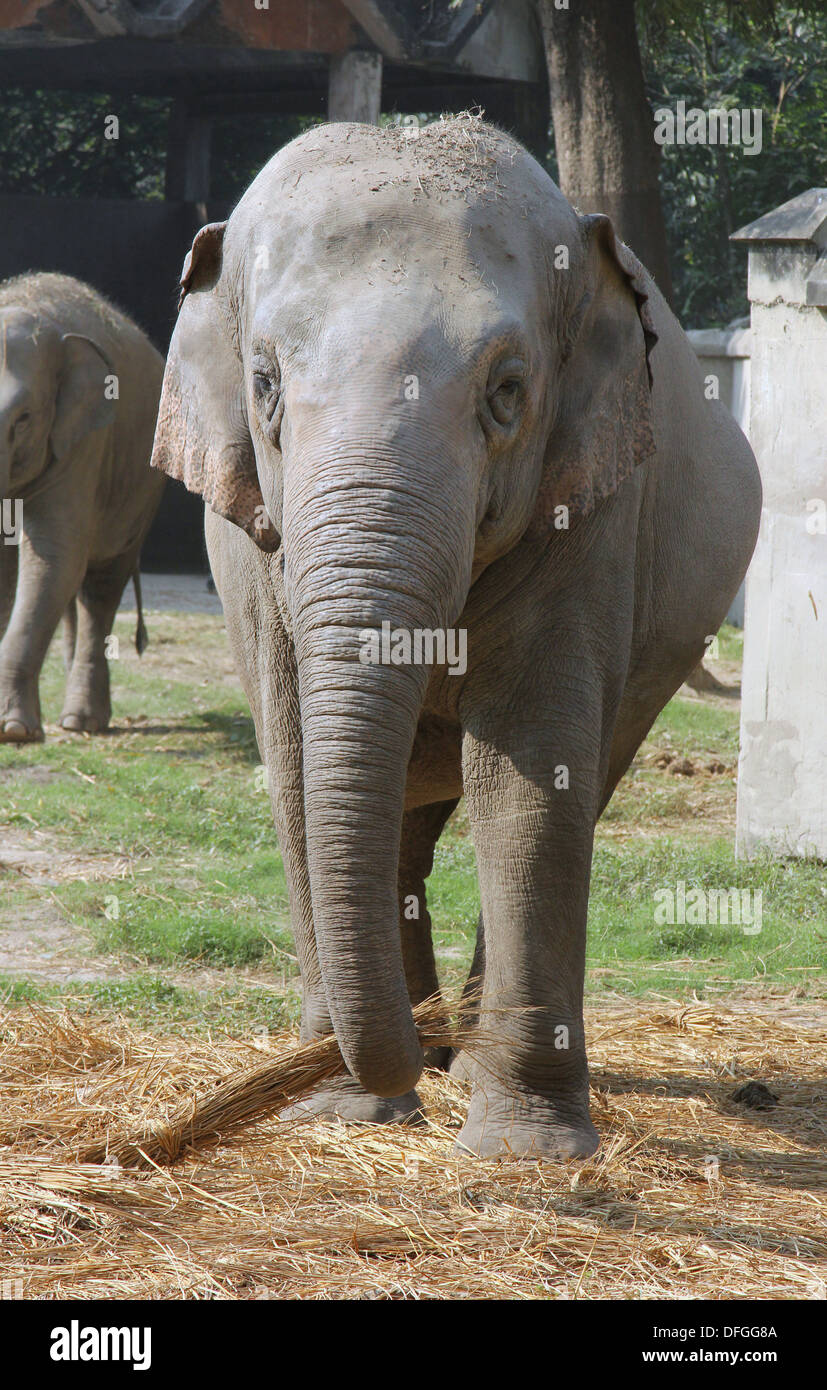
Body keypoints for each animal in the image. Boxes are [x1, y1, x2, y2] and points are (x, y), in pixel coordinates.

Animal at [0, 275, 166, 745]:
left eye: (24, 418)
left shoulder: (83, 444)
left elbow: (54, 557)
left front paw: (13, 731)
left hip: (140, 493)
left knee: (99, 587)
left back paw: (81, 721)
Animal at [150, 119, 761, 1162]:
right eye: (264, 384)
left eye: (508, 391)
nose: (397, 1048)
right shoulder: (252, 558)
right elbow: (300, 761)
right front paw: (340, 1108)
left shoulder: (589, 514)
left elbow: (524, 777)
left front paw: (521, 1149)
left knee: (574, 783)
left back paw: (459, 1060)